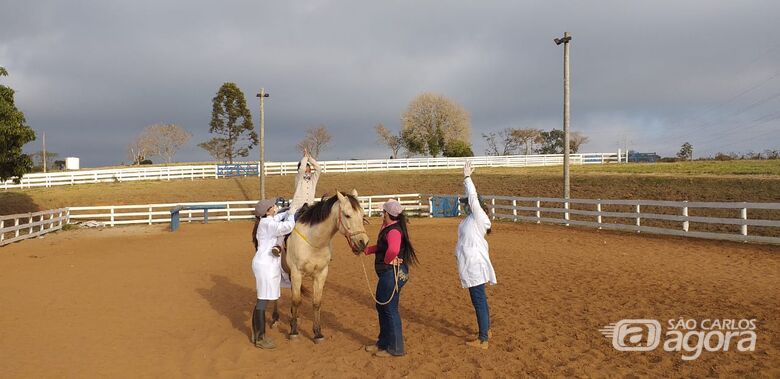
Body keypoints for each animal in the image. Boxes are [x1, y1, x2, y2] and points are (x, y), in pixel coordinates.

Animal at [284, 190, 368, 344]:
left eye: (362, 215)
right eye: (347, 215)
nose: (363, 242)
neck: (314, 241)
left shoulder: (321, 274)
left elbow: (317, 302)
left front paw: (317, 333)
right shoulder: (296, 273)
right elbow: (296, 300)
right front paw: (294, 332)